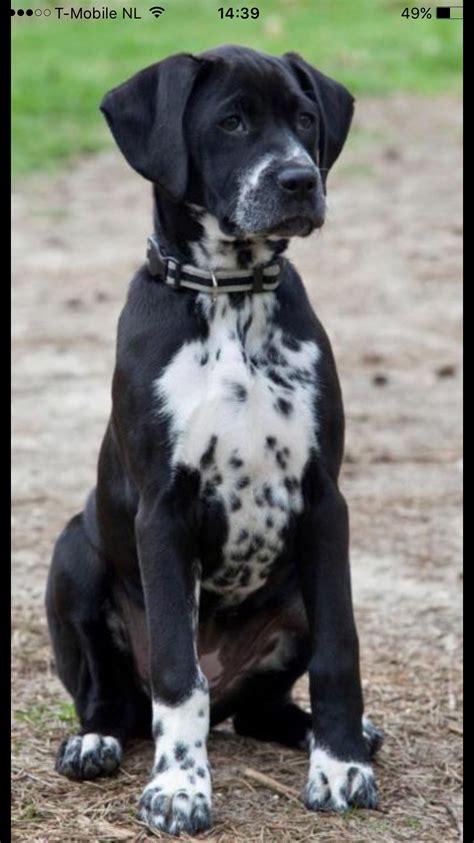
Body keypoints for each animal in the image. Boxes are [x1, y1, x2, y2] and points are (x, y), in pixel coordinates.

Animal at [46, 44, 384, 832]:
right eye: (231, 122)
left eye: (305, 119)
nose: (300, 179)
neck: (231, 299)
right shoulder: (164, 510)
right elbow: (177, 669)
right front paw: (180, 786)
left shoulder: (324, 502)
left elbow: (340, 651)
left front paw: (341, 764)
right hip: (72, 555)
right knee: (116, 700)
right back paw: (94, 741)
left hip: (293, 594)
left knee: (263, 710)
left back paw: (327, 734)